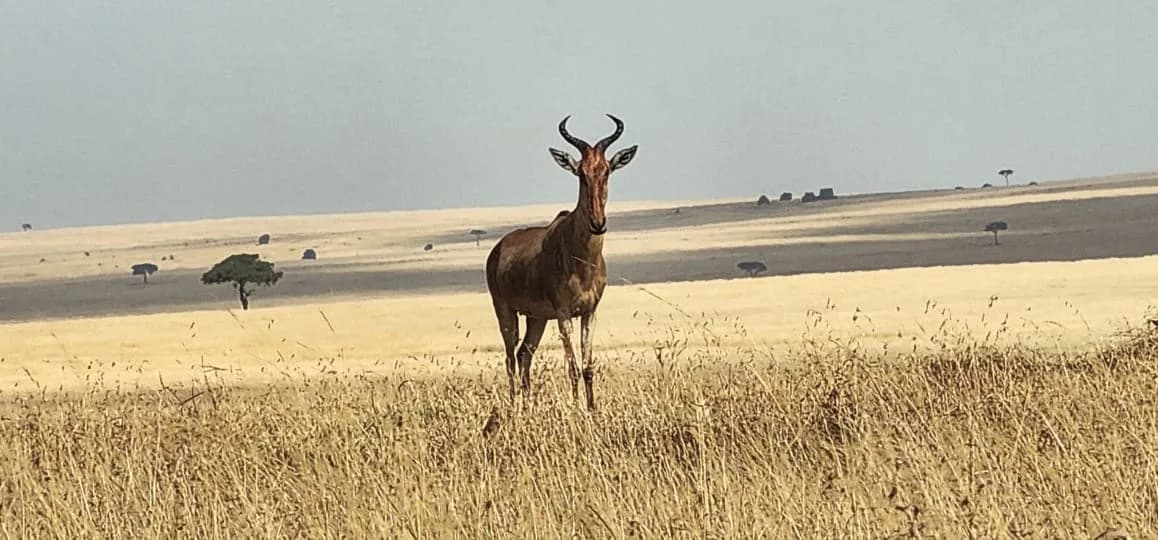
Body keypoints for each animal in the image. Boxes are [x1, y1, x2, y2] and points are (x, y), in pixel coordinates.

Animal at [485, 114, 638, 410]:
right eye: (580, 173)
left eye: (606, 170)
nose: (598, 223)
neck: (582, 261)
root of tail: (498, 249)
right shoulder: (564, 314)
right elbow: (573, 368)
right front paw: (577, 410)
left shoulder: (590, 312)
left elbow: (588, 367)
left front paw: (592, 409)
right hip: (505, 311)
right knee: (510, 358)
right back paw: (514, 407)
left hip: (537, 318)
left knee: (524, 354)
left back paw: (528, 407)